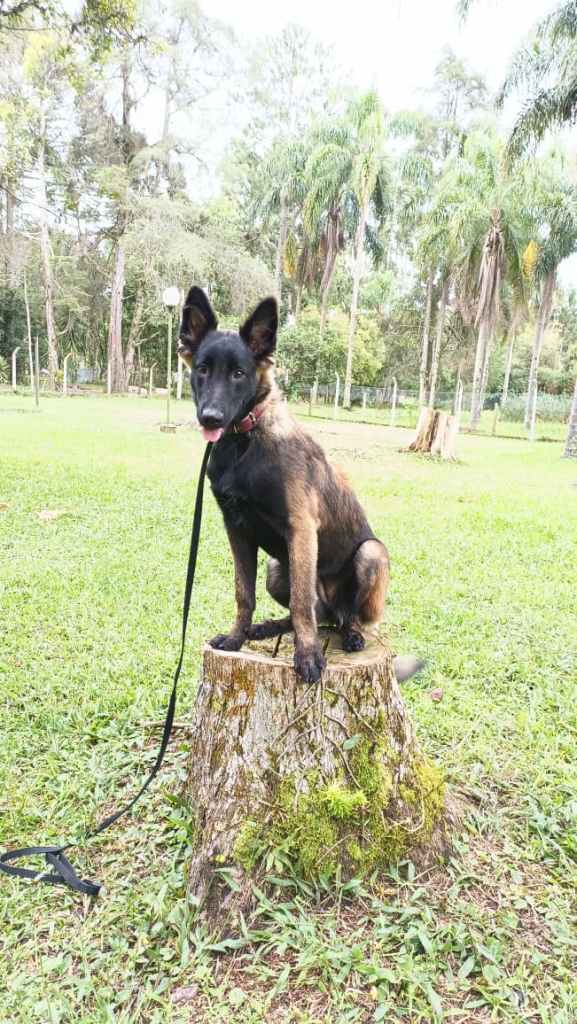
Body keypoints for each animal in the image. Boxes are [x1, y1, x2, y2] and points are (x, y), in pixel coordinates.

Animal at [178, 286, 421, 685]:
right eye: (202, 370)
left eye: (239, 373)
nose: (210, 418)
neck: (245, 441)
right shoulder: (236, 530)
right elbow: (244, 594)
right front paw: (236, 637)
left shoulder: (302, 529)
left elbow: (302, 601)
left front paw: (307, 655)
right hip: (277, 568)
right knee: (316, 614)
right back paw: (268, 628)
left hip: (370, 553)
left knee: (342, 617)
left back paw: (351, 634)